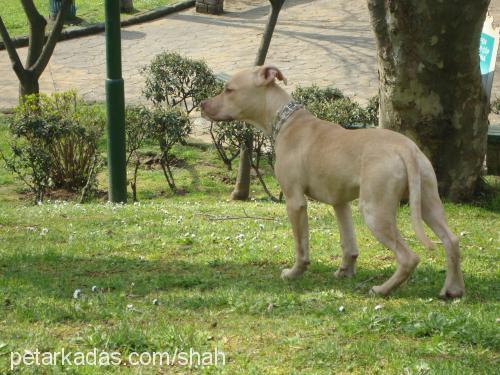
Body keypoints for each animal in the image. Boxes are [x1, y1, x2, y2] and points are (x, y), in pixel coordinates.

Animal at [200, 65, 464, 300]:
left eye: (229, 89)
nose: (202, 105)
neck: (287, 120)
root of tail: (406, 148)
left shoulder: (295, 202)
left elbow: (301, 246)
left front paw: (294, 273)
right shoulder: (340, 203)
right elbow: (349, 244)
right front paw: (344, 272)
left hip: (375, 211)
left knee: (409, 257)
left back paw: (382, 290)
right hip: (428, 202)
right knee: (451, 240)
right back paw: (452, 290)